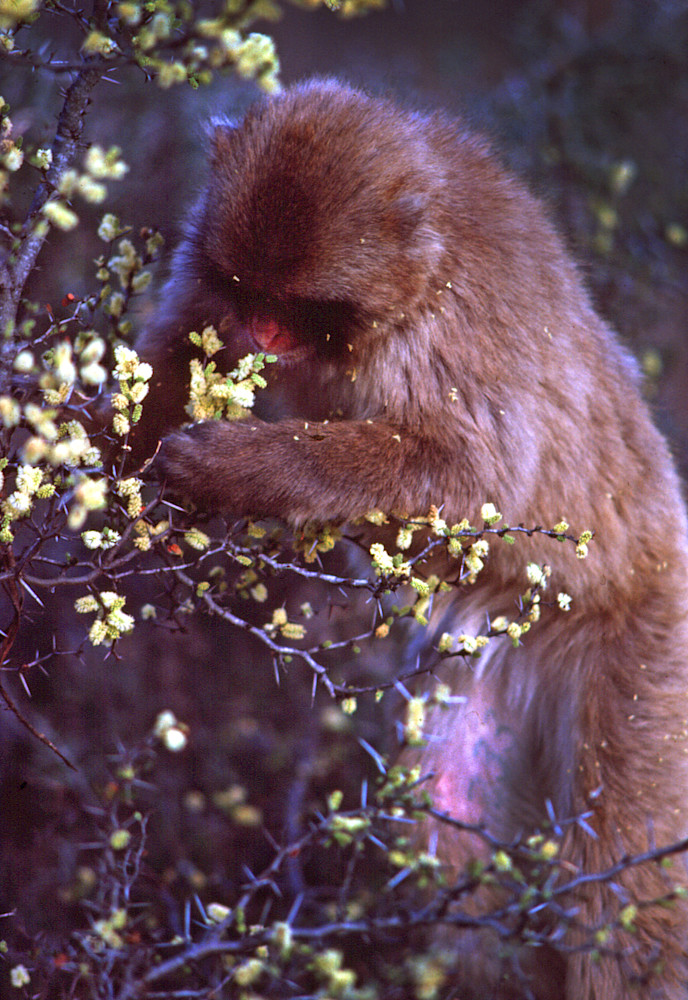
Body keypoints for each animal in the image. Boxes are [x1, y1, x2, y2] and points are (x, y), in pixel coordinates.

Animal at [129, 80, 688, 998]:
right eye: (249, 290)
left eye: (301, 307)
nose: (263, 335)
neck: (415, 275)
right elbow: (177, 343)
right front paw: (121, 442)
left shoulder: (451, 330)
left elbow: (470, 479)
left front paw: (234, 468)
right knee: (449, 829)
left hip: (647, 652)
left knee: (624, 898)